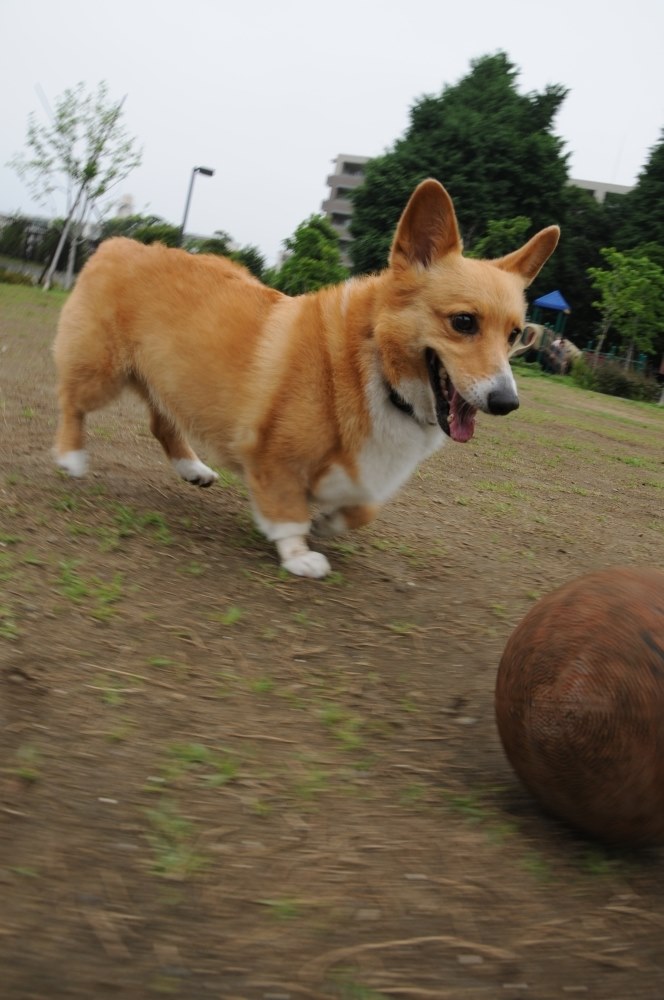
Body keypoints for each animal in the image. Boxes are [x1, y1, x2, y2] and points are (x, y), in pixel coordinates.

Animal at [54, 180, 556, 580]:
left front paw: (327, 524)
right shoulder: (273, 456)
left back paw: (193, 469)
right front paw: (299, 555)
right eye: (464, 322)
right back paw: (71, 457)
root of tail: (122, 243)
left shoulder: (362, 477)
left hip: (171, 379)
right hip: (102, 371)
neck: (374, 366)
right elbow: (287, 511)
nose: (506, 402)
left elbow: (362, 510)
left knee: (162, 424)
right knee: (72, 401)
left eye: (515, 335)